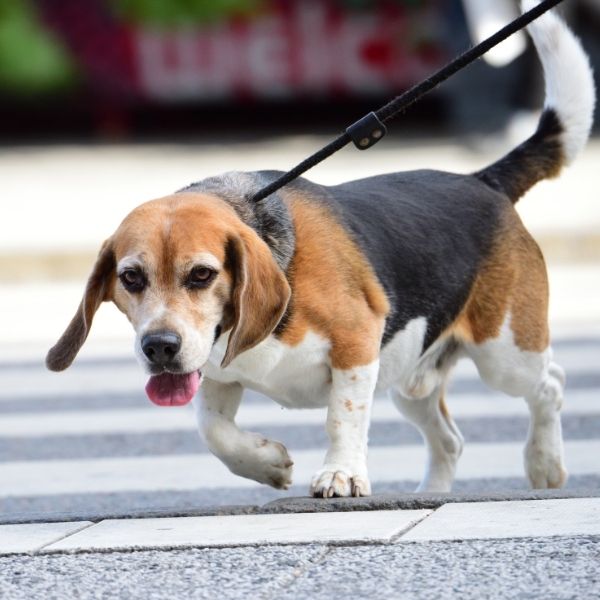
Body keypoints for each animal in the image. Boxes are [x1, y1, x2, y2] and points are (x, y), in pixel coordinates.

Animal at [47, 5, 596, 496]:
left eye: (201, 275)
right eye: (131, 278)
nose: (159, 347)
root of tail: (484, 181)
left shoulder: (356, 343)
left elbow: (341, 417)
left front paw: (341, 474)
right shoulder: (218, 374)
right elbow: (214, 431)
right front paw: (266, 464)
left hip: (504, 353)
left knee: (551, 384)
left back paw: (544, 463)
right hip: (410, 376)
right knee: (450, 440)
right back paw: (432, 494)